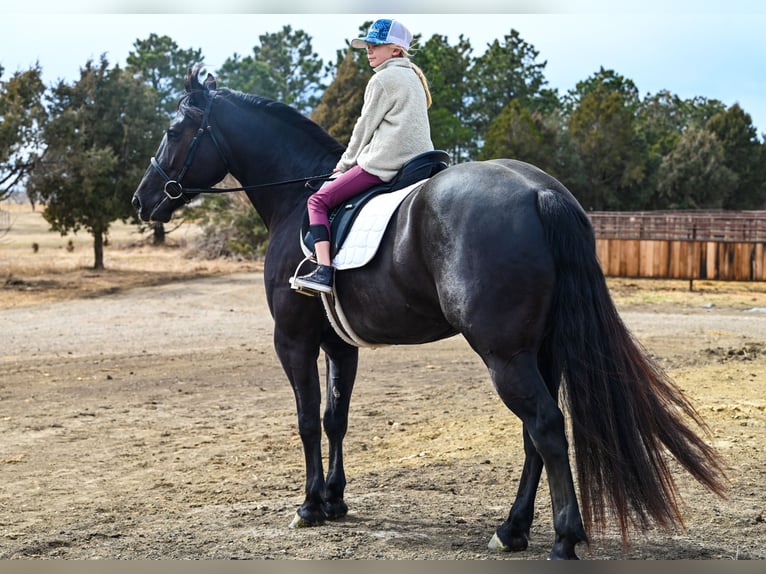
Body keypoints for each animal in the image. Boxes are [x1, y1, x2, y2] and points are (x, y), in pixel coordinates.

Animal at [132, 65, 727, 559]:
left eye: (173, 131)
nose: (142, 201)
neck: (298, 195)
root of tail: (540, 191)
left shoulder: (294, 341)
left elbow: (305, 419)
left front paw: (309, 505)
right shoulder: (340, 345)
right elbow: (335, 418)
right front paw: (335, 500)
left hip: (504, 355)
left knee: (546, 426)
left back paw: (563, 538)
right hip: (539, 352)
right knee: (534, 436)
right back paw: (511, 529)